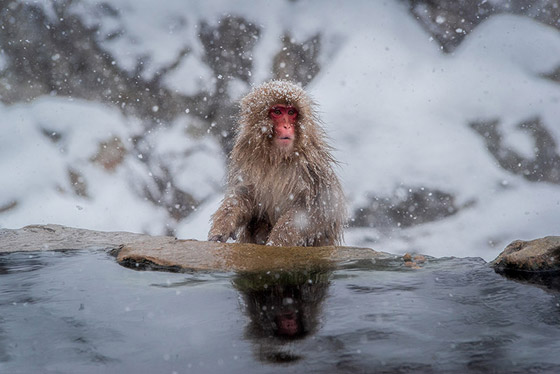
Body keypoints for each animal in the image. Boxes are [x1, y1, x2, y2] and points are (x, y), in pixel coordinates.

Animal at [208, 80, 344, 247]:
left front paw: (277, 242)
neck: (278, 157)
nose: (286, 126)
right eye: (278, 112)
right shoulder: (246, 156)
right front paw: (222, 227)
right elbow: (243, 195)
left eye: (291, 112)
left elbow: (320, 209)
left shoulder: (312, 164)